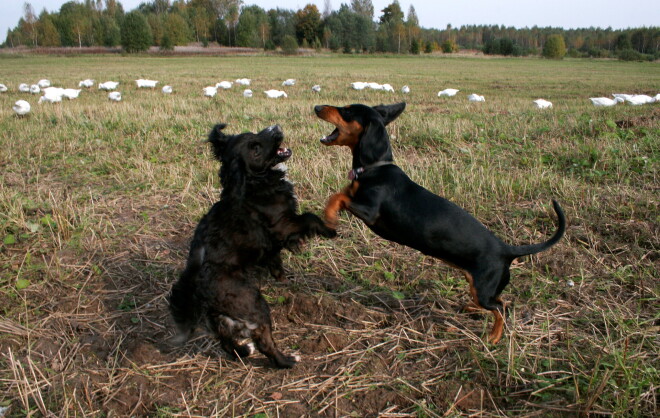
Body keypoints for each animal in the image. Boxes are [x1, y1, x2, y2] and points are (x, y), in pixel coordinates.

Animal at [170, 122, 336, 368]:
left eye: (254, 134)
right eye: (255, 149)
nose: (275, 127)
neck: (253, 183)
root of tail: (197, 285)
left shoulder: (271, 245)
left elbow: (276, 261)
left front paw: (283, 278)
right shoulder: (282, 224)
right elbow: (309, 217)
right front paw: (329, 231)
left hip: (220, 319)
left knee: (225, 342)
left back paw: (243, 351)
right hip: (254, 304)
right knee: (264, 343)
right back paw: (287, 361)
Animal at [316, 103, 568, 344]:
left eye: (347, 111)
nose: (317, 107)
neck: (376, 167)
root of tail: (507, 249)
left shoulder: (369, 212)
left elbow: (337, 198)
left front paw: (329, 217)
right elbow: (342, 192)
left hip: (483, 288)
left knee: (500, 308)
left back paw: (494, 337)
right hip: (479, 285)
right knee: (501, 301)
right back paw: (472, 309)